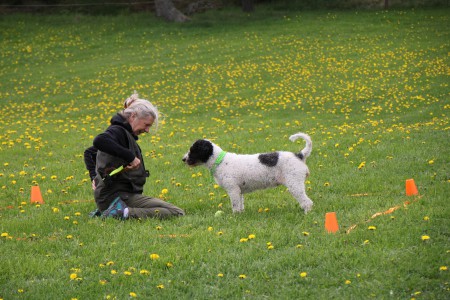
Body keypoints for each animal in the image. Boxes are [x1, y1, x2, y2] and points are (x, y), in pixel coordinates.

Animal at [182, 132, 312, 213]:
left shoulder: (233, 190)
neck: (220, 161)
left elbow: (235, 206)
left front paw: (235, 216)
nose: (183, 159)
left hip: (294, 184)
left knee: (307, 202)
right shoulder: (239, 191)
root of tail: (299, 155)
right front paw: (241, 214)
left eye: (193, 150)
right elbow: (240, 205)